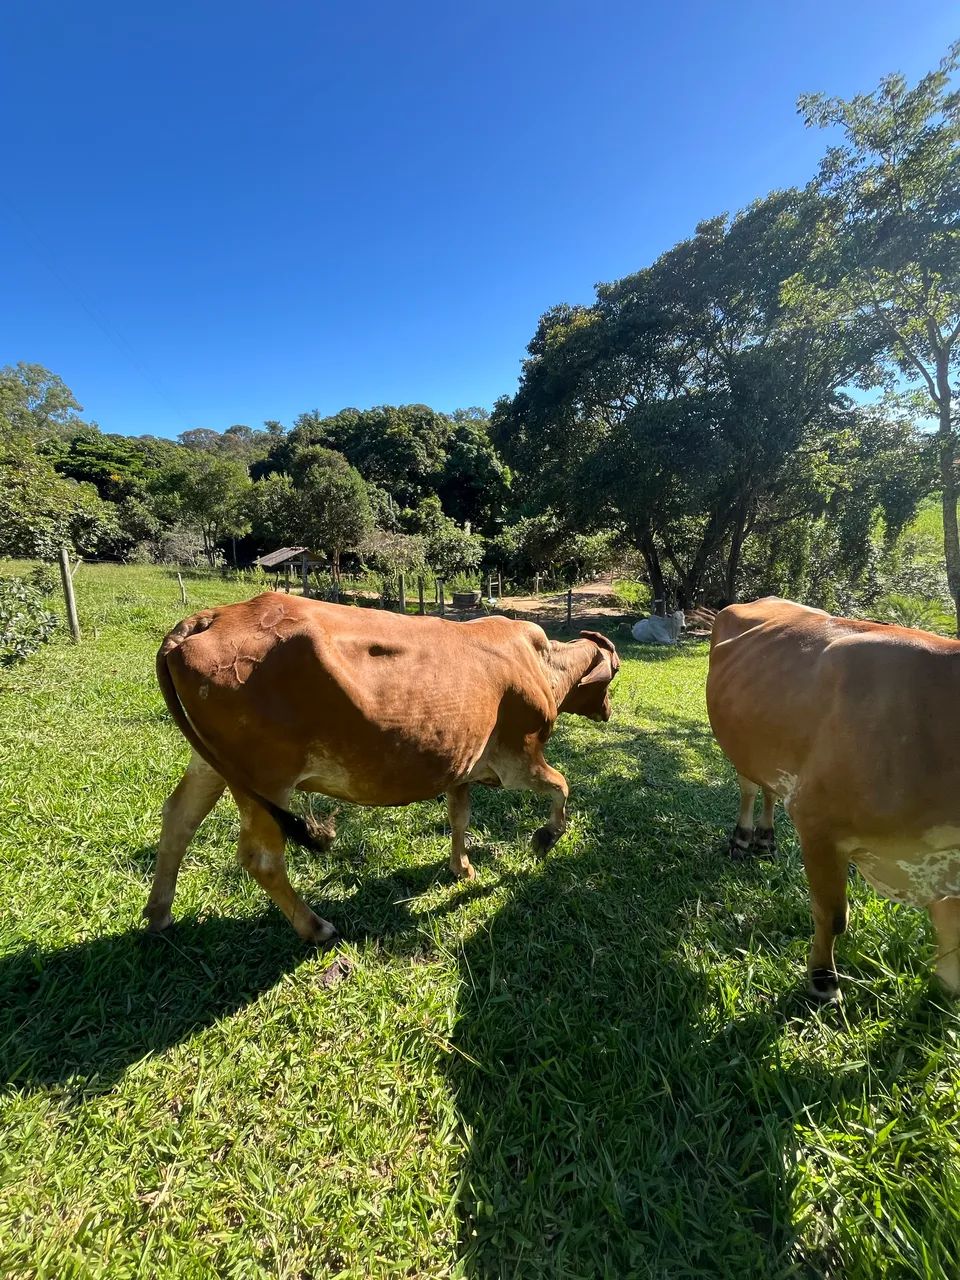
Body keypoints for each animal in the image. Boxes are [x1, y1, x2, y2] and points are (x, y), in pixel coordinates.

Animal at [147, 592, 619, 944]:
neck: (541, 664)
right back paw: (316, 927)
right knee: (261, 859)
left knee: (178, 819)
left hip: (214, 767)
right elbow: (562, 787)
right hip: (265, 780)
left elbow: (459, 818)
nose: (608, 711)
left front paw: (462, 868)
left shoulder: (461, 767)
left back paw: (159, 915)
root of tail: (207, 618)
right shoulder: (519, 759)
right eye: (614, 672)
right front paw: (545, 838)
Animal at [707, 596, 960, 1001]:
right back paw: (743, 839)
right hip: (740, 745)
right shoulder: (819, 825)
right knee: (749, 787)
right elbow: (833, 915)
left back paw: (766, 839)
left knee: (768, 788)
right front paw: (823, 980)